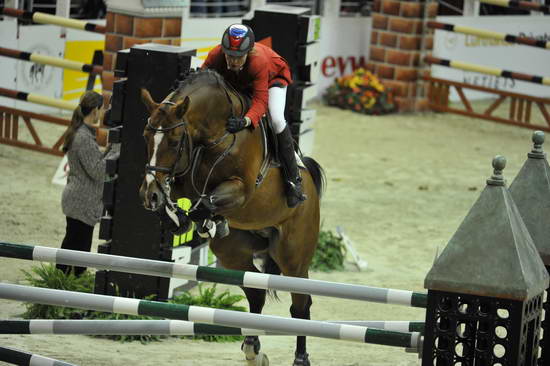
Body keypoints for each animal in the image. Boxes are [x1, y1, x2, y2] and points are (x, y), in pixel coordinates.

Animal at [140, 69, 326, 366]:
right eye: (146, 136)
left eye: (174, 141)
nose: (150, 196)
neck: (214, 134)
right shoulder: (182, 179)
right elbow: (179, 197)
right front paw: (176, 217)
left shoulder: (240, 190)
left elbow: (205, 203)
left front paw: (199, 220)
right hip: (233, 253)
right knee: (256, 291)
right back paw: (253, 349)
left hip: (293, 257)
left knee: (300, 304)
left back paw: (300, 358)